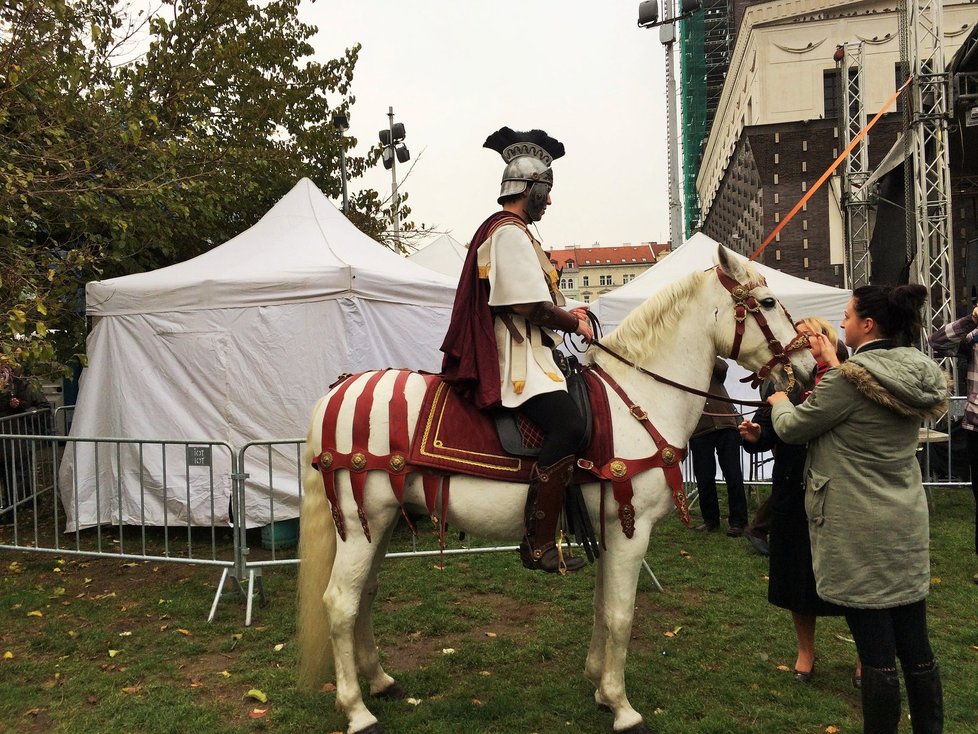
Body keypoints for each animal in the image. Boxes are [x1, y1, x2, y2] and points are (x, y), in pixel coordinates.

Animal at [294, 249, 812, 734]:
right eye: (768, 302)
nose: (807, 369)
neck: (639, 400)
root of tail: (338, 392)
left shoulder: (610, 530)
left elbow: (603, 608)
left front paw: (600, 687)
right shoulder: (630, 530)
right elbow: (621, 614)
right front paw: (623, 708)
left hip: (374, 524)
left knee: (364, 596)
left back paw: (380, 681)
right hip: (361, 524)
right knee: (340, 603)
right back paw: (357, 711)